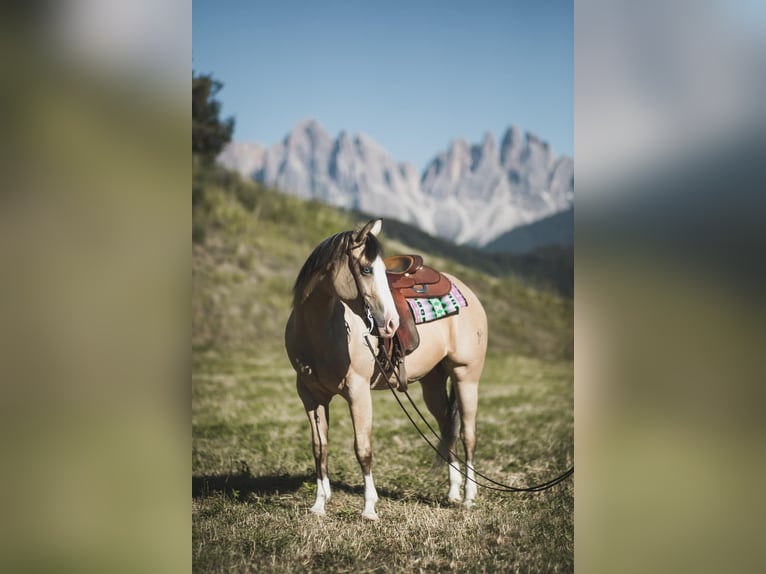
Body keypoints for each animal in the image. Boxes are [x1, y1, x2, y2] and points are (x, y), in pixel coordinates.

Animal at [284, 219, 488, 520]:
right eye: (366, 269)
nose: (391, 324)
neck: (320, 331)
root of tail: (467, 292)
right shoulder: (310, 395)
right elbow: (320, 448)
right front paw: (319, 505)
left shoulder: (358, 391)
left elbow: (362, 448)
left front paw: (369, 508)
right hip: (433, 384)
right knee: (447, 432)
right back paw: (452, 493)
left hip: (466, 377)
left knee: (468, 435)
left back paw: (468, 497)